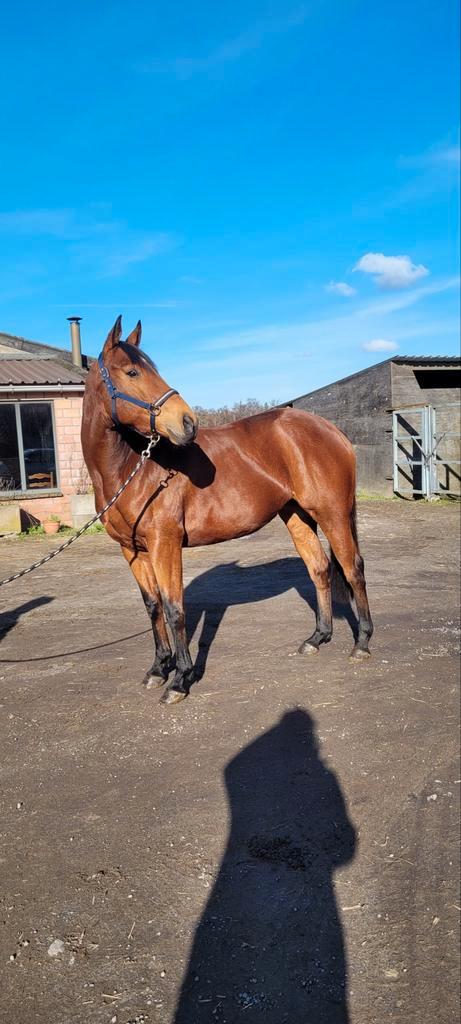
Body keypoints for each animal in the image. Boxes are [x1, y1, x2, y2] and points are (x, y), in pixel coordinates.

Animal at [81, 316, 373, 705]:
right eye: (131, 372)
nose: (188, 422)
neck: (132, 468)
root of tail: (329, 428)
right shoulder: (132, 550)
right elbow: (153, 605)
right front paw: (158, 670)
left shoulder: (164, 544)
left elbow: (175, 608)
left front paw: (180, 680)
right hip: (297, 515)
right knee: (320, 569)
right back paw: (316, 639)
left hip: (333, 513)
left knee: (353, 569)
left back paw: (362, 644)